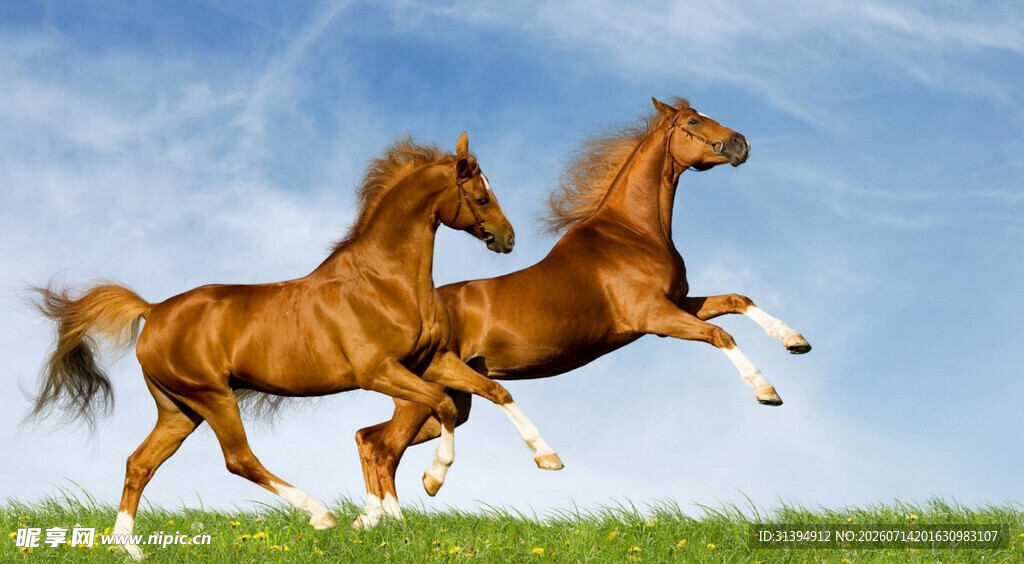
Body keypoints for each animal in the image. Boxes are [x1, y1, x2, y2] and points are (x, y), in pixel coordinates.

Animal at [28, 133, 562, 559]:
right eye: (481, 196)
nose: (508, 239)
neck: (386, 280)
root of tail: (154, 310)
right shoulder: (379, 371)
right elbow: (441, 409)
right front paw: (428, 485)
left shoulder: (431, 361)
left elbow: (496, 392)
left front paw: (547, 458)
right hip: (212, 397)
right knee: (239, 459)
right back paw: (320, 514)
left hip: (179, 409)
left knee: (139, 464)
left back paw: (131, 548)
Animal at [351, 98, 811, 526]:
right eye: (694, 122)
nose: (740, 144)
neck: (633, 233)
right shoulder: (655, 318)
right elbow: (721, 335)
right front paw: (766, 391)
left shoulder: (679, 303)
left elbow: (738, 300)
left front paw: (795, 340)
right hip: (424, 397)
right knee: (382, 447)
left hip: (450, 400)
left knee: (369, 438)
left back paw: (370, 518)